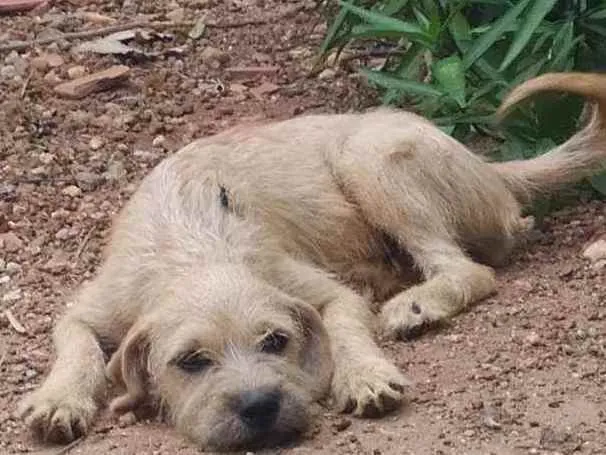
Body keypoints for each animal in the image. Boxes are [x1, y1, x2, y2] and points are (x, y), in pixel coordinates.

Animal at [16, 73, 606, 450]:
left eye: (277, 342)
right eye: (191, 361)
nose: (259, 407)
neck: (192, 250)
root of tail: (487, 167)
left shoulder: (312, 289)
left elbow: (344, 328)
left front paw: (365, 375)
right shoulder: (90, 307)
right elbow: (76, 348)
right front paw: (59, 400)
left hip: (369, 157)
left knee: (467, 270)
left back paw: (416, 305)